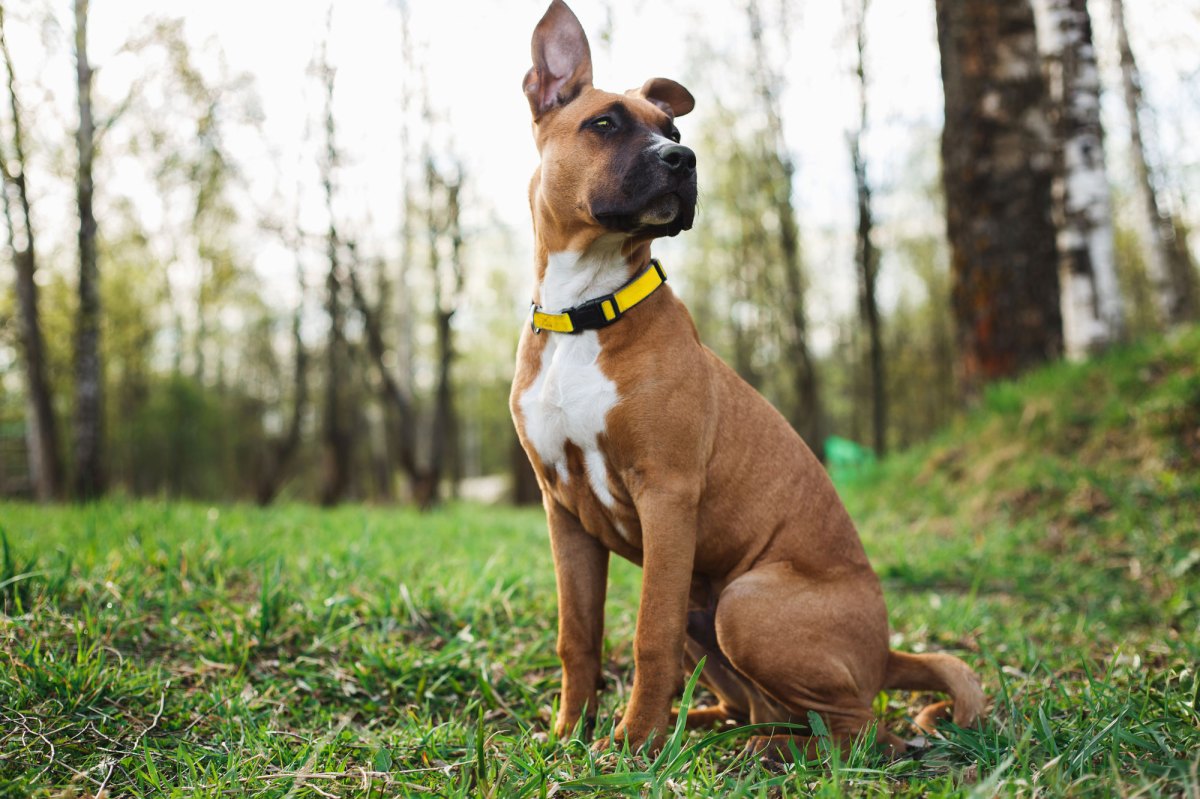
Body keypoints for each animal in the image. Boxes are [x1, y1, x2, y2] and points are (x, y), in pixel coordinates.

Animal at [508, 0, 984, 753]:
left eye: (673, 130)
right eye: (604, 123)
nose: (683, 159)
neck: (584, 312)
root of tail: (885, 651)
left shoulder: (666, 495)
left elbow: (647, 636)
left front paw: (632, 745)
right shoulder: (564, 512)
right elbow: (576, 635)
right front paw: (568, 735)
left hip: (745, 599)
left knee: (853, 728)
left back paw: (761, 749)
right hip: (708, 610)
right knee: (761, 704)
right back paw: (713, 729)